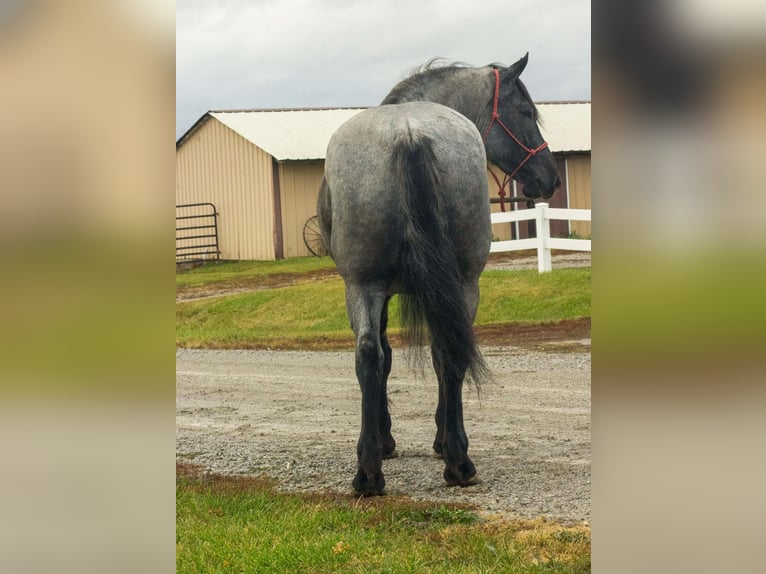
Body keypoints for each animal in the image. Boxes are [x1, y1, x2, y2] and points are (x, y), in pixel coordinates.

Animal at [317, 54, 561, 496]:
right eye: (525, 111)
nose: (550, 178)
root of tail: (409, 132)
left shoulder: (382, 292)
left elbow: (387, 356)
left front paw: (390, 440)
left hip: (366, 285)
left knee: (378, 354)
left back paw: (381, 469)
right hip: (453, 283)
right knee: (438, 352)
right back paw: (448, 462)